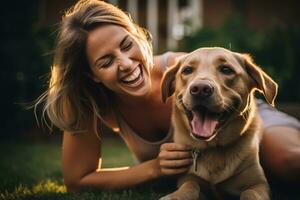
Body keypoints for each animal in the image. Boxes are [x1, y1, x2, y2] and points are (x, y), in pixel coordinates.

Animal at [159, 47, 276, 199]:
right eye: (187, 70)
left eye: (226, 69)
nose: (200, 89)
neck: (213, 148)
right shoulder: (188, 178)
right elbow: (190, 185)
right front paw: (175, 195)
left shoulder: (258, 184)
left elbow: (250, 193)